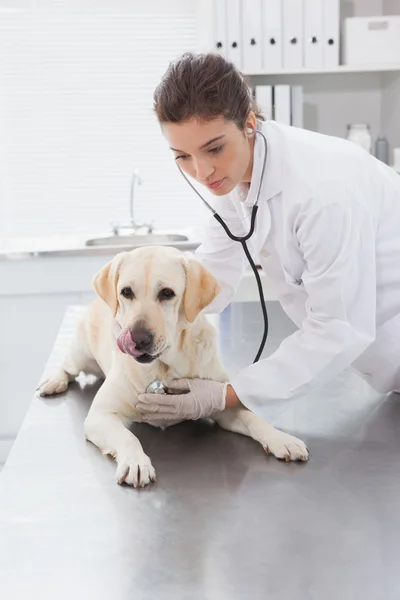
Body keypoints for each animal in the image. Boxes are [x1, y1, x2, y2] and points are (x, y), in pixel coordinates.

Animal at [38, 246, 310, 486]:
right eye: (126, 292)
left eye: (167, 293)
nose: (138, 338)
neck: (163, 368)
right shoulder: (100, 415)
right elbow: (128, 437)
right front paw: (136, 462)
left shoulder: (222, 402)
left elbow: (254, 418)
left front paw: (281, 439)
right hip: (81, 352)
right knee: (67, 366)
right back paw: (53, 381)